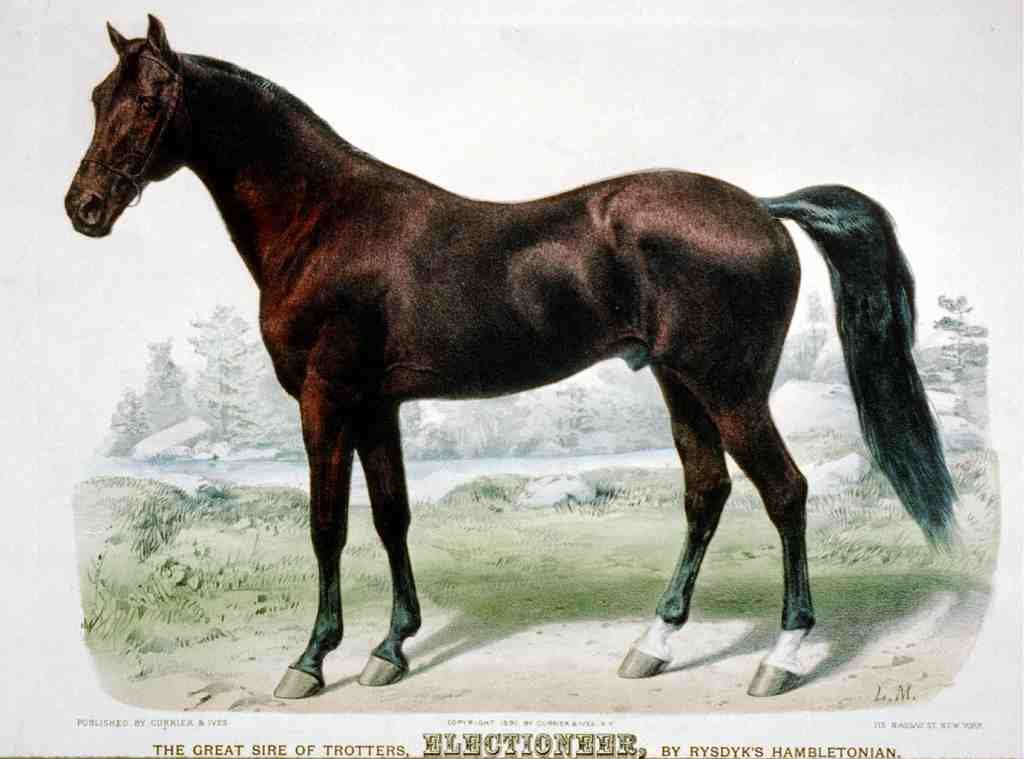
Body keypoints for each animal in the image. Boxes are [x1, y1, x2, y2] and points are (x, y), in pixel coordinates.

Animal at [65, 16, 956, 700]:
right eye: (99, 97)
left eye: (151, 100)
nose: (84, 208)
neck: (326, 221)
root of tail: (763, 207)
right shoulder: (376, 404)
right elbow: (390, 516)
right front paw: (392, 648)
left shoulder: (325, 398)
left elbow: (325, 525)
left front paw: (311, 660)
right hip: (682, 385)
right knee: (707, 493)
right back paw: (652, 644)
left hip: (732, 390)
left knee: (786, 492)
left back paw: (782, 656)